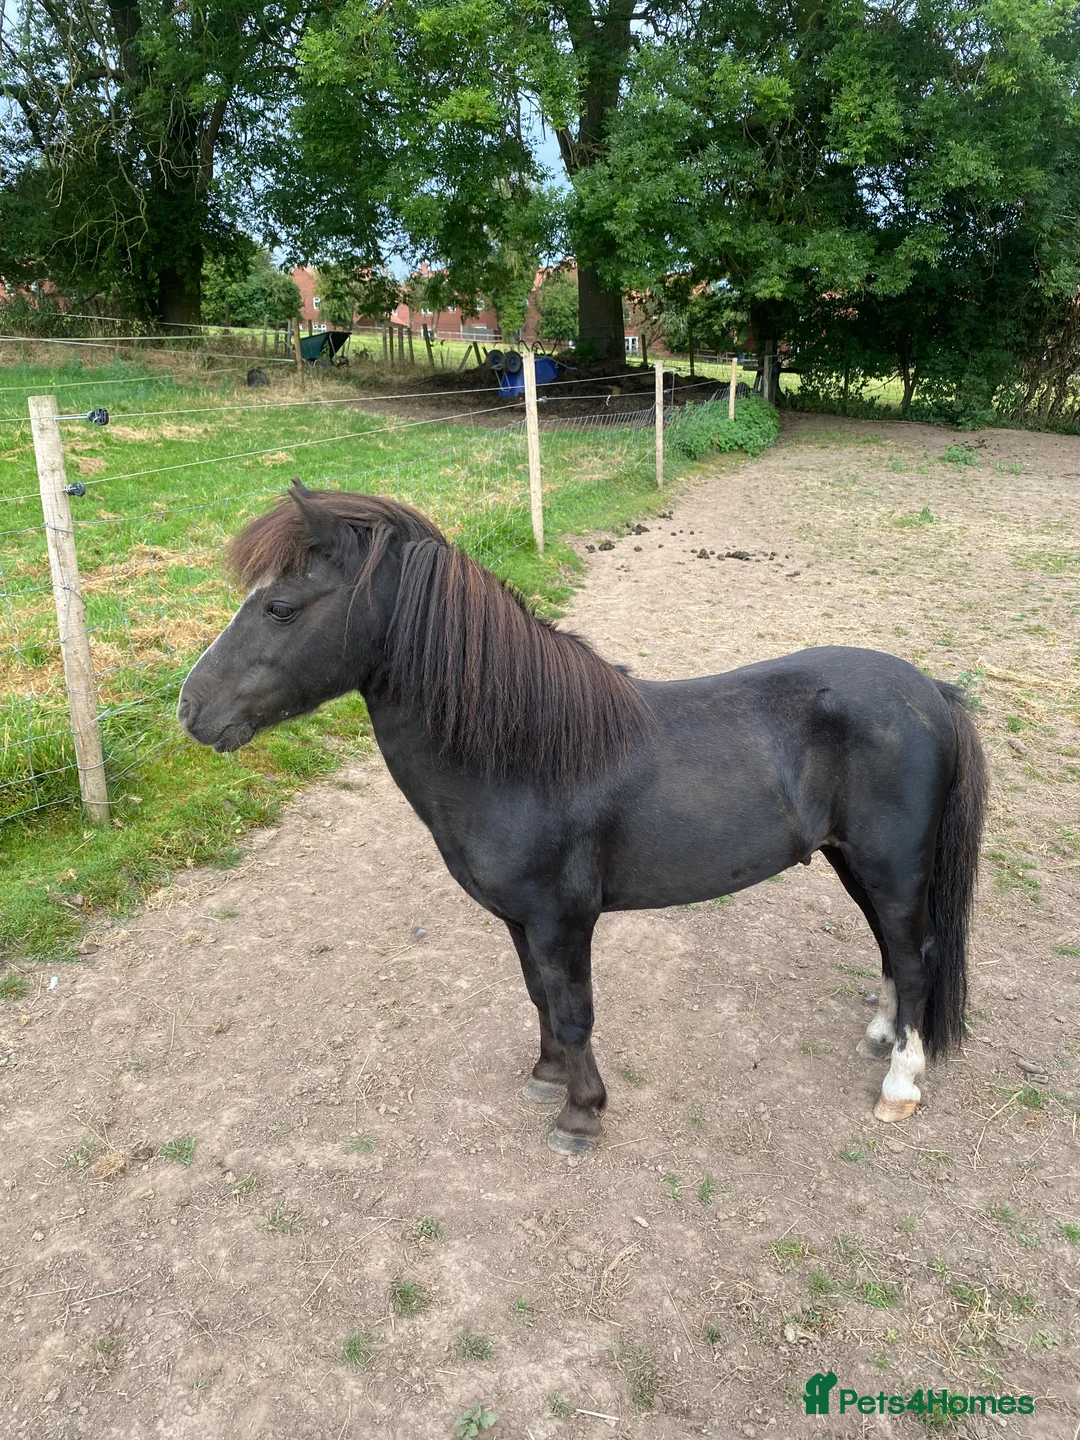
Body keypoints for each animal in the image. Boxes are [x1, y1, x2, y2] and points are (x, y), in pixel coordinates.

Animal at [178, 481, 988, 1154]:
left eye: (281, 607)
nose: (189, 709)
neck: (522, 756)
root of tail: (930, 692)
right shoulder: (519, 919)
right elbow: (539, 996)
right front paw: (547, 1076)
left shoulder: (562, 919)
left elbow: (574, 1009)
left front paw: (581, 1113)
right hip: (856, 862)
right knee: (894, 954)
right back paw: (882, 1037)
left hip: (891, 867)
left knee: (915, 957)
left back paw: (900, 1084)